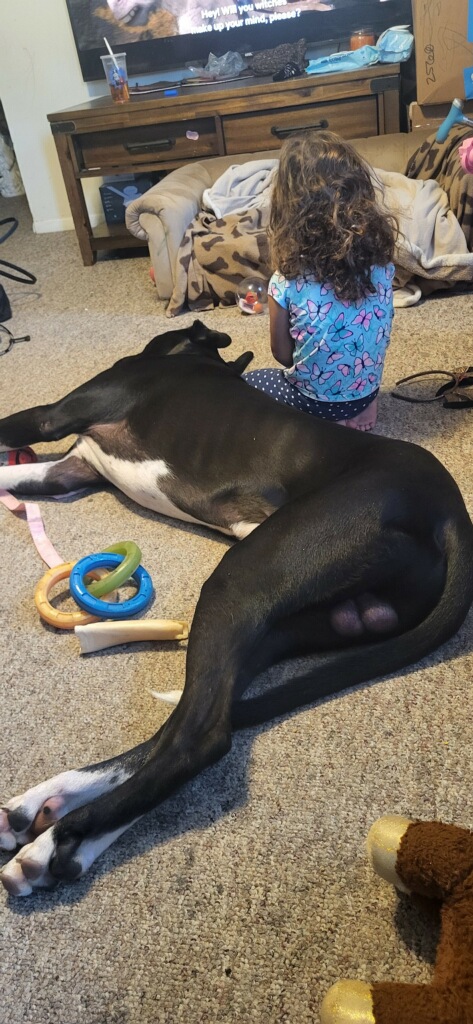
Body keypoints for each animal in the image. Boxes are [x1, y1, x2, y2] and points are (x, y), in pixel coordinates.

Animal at [1, 319, 472, 896]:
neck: (194, 358)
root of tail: (452, 512)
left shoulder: (53, 415)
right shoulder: (70, 471)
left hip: (239, 581)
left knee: (200, 736)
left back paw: (57, 844)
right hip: (280, 623)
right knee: (191, 719)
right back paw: (49, 809)